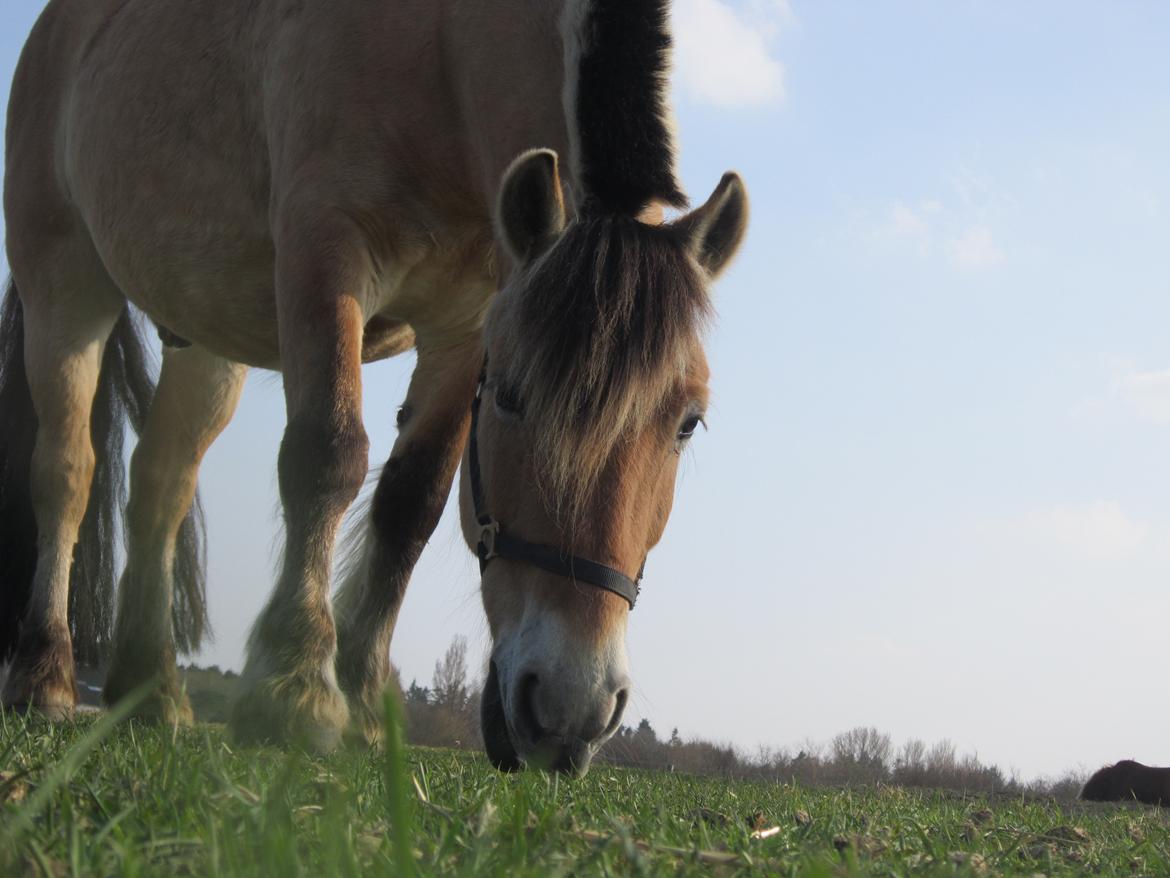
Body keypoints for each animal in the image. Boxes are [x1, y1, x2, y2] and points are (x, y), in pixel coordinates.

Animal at [0, 0, 744, 777]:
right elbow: (328, 457)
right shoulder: (326, 258)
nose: (572, 710)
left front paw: (360, 705)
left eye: (687, 422)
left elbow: (408, 505)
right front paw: (296, 686)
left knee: (161, 486)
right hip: (64, 291)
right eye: (511, 396)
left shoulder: (465, 328)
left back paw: (152, 691)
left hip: (205, 342)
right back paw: (45, 673)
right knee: (67, 473)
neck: (442, 53)